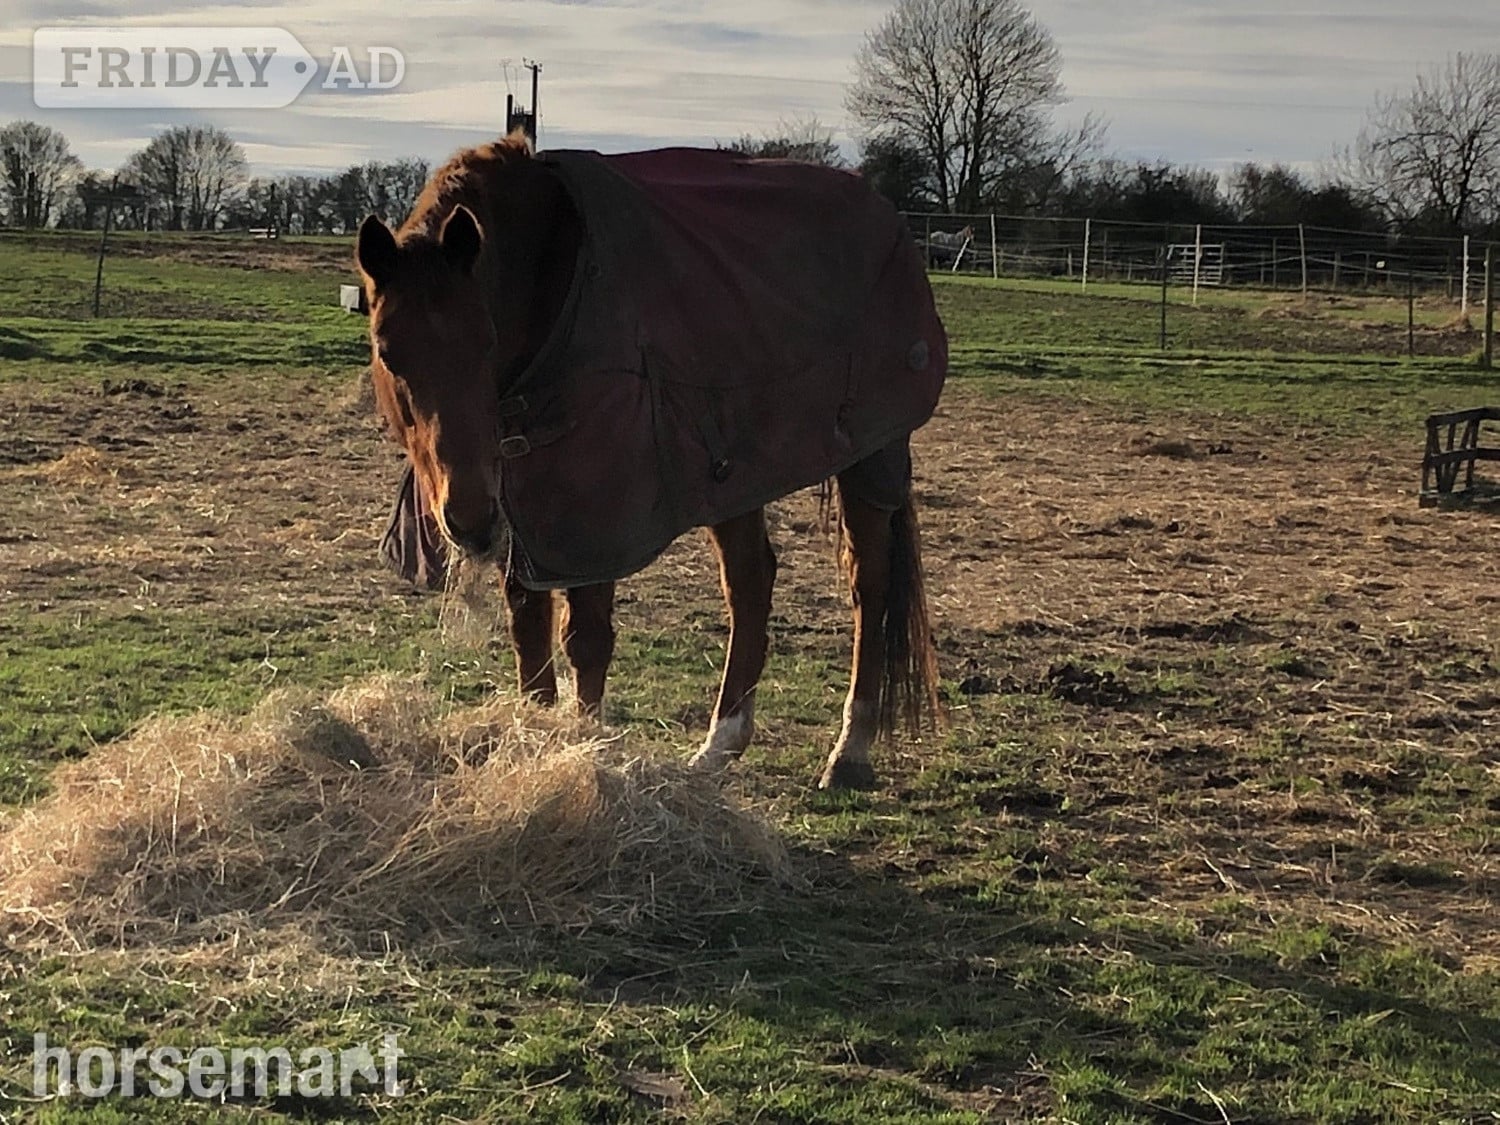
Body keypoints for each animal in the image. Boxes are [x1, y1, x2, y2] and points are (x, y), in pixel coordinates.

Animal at [355, 131, 947, 789]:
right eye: (387, 350)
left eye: (486, 340)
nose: (468, 518)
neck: (554, 281)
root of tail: (885, 213)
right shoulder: (530, 513)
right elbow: (530, 632)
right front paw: (535, 739)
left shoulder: (593, 514)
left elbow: (586, 639)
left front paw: (584, 752)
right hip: (731, 472)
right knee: (751, 581)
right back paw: (721, 744)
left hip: (872, 452)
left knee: (869, 583)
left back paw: (850, 749)